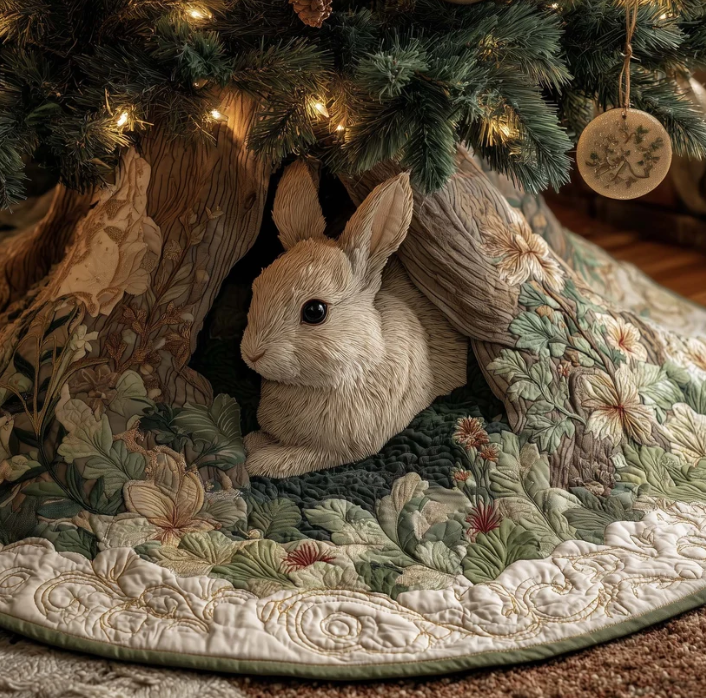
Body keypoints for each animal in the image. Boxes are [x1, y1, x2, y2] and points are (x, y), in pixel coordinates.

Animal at [240, 160, 467, 478]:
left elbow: (298, 457)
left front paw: (259, 461)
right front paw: (253, 441)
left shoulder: (341, 449)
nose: (252, 354)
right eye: (257, 286)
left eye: (315, 311)